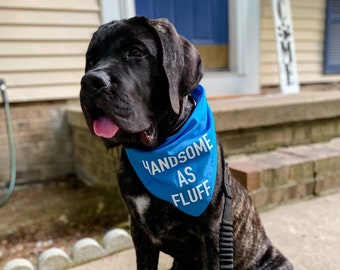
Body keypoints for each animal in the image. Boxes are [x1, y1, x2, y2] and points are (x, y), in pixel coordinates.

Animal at [79, 16, 292, 270]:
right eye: (91, 60)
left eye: (136, 52)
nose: (90, 81)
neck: (157, 150)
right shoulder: (140, 232)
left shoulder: (212, 235)